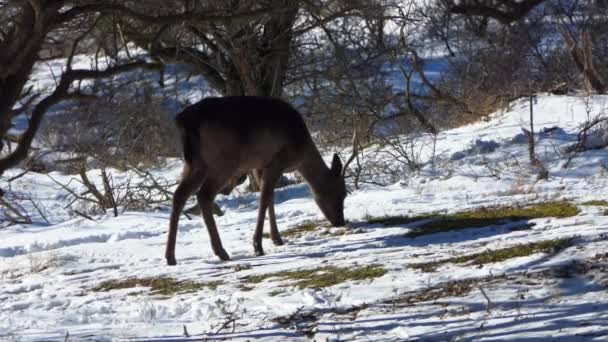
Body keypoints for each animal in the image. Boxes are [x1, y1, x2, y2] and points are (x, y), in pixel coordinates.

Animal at [166, 95, 350, 264]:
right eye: (341, 193)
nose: (340, 222)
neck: (301, 153)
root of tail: (183, 121)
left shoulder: (259, 166)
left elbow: (269, 198)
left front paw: (276, 239)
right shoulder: (277, 161)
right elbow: (264, 197)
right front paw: (258, 245)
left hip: (194, 163)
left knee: (179, 195)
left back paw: (171, 257)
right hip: (223, 161)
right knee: (204, 195)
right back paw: (221, 252)